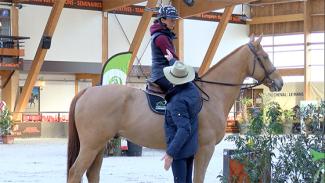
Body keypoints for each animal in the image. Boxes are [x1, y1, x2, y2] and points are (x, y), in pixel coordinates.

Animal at [67, 36, 282, 183]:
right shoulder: (205, 149)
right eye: (264, 57)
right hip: (91, 146)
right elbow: (198, 179)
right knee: (75, 172)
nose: (279, 82)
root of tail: (88, 92)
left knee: (92, 173)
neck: (213, 94)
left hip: (98, 146)